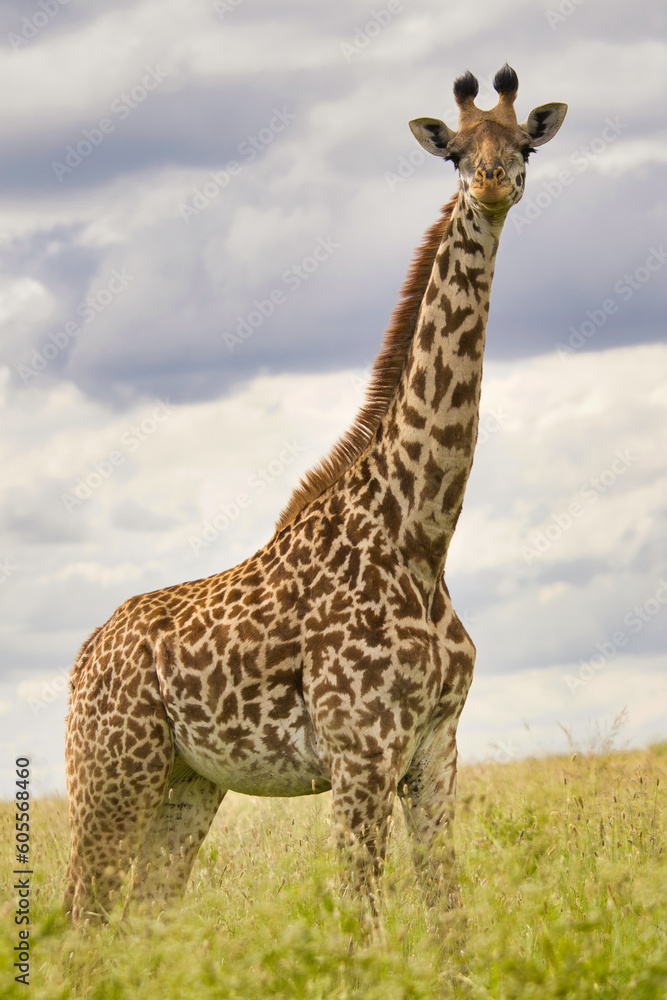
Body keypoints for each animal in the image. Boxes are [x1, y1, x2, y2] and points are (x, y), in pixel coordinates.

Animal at [64, 64, 567, 923]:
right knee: (80, 919)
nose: (493, 182)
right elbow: (360, 918)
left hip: (186, 781)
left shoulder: (436, 748)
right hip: (109, 773)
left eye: (524, 143)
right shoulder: (359, 755)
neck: (419, 535)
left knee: (144, 919)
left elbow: (449, 918)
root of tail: (80, 660)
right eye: (454, 150)